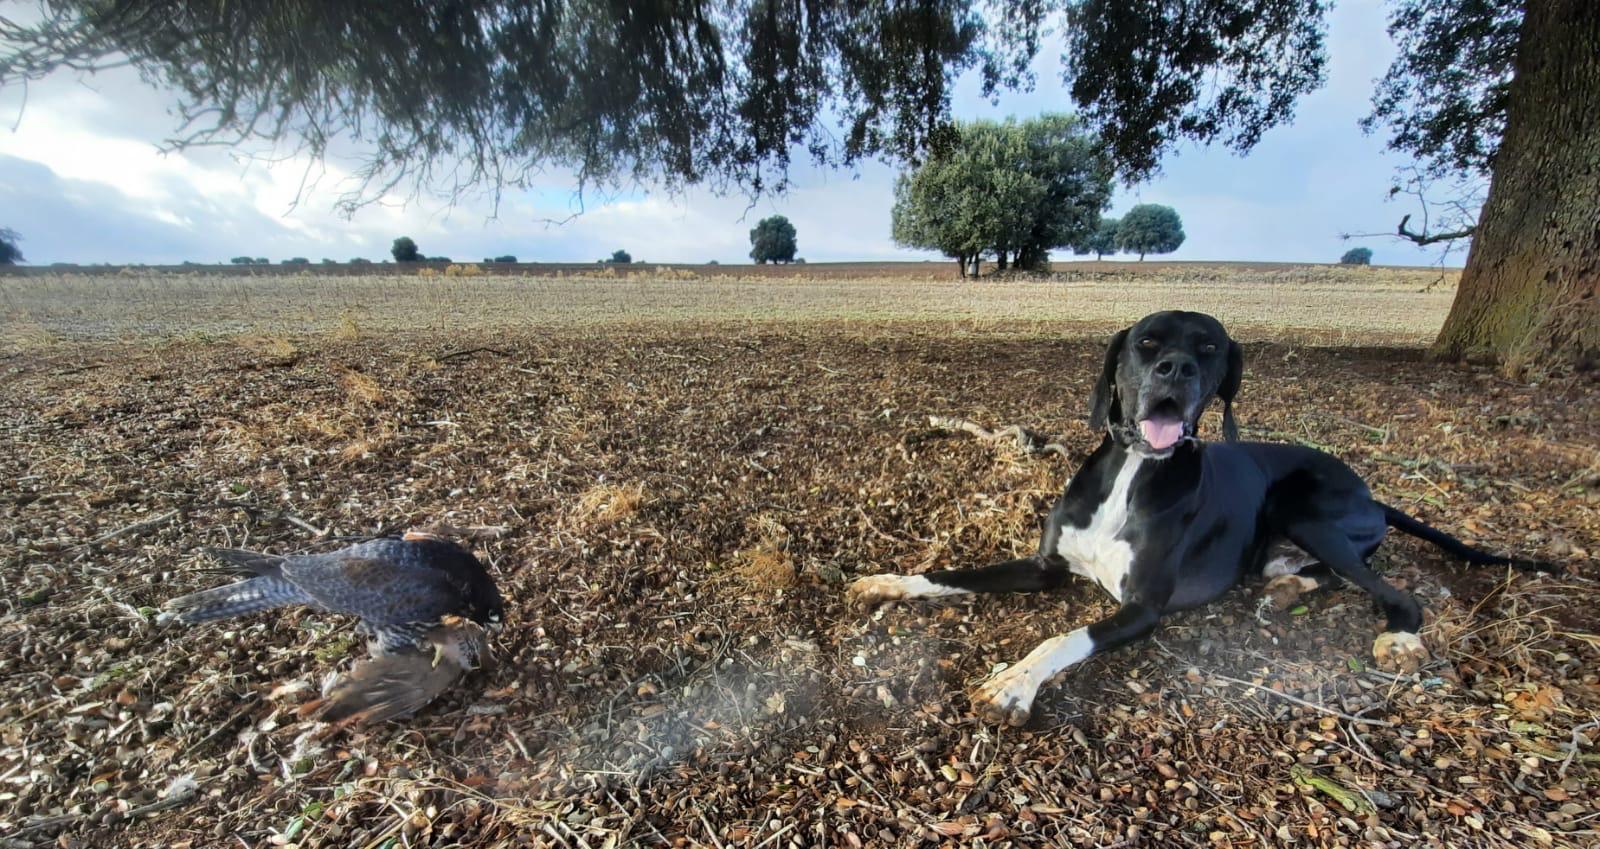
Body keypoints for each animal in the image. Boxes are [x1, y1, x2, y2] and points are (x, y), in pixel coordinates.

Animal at [851, 311, 1548, 725]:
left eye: (1209, 348)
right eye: (1145, 344)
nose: (1177, 371)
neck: (1135, 467)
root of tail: (1373, 493)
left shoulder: (1142, 609)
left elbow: (1062, 638)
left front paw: (1013, 682)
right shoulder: (1045, 566)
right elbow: (951, 572)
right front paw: (888, 582)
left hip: (1304, 509)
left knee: (1394, 591)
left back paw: (1399, 636)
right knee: (1322, 571)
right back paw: (1288, 586)